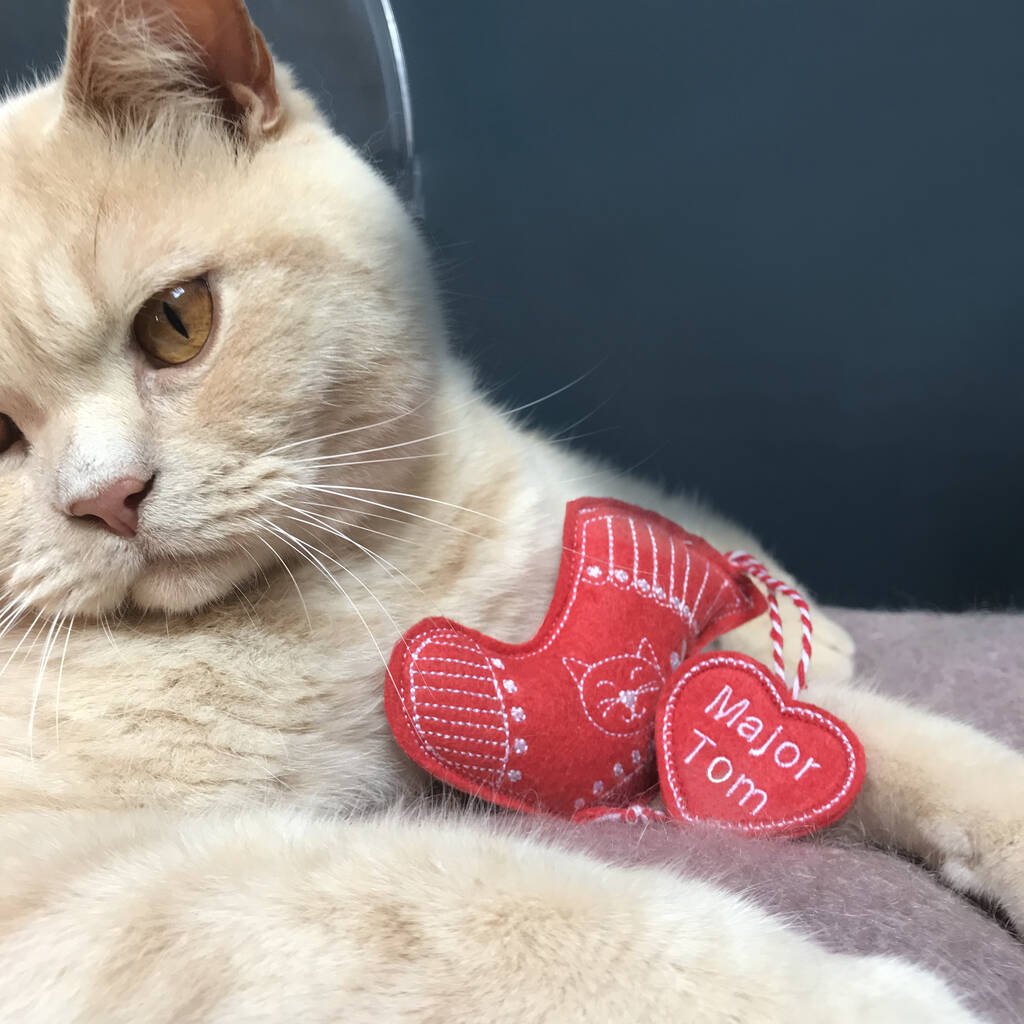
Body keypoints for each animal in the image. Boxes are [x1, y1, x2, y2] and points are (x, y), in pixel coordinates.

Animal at [0, 0, 1015, 1019]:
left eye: (177, 320)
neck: (332, 602)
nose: (107, 498)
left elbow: (905, 740)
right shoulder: (88, 875)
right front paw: (839, 995)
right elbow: (442, 907)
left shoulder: (633, 659)